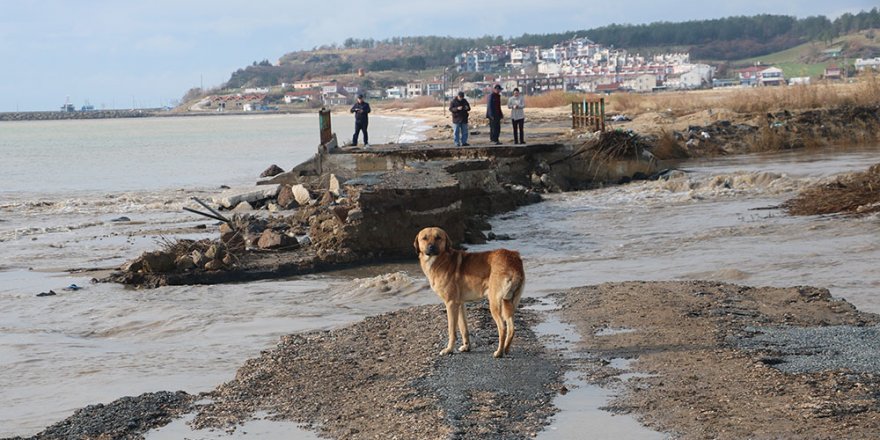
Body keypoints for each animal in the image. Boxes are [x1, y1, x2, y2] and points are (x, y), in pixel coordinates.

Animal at [412, 227, 524, 358]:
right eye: (424, 238)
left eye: (438, 237)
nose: (431, 247)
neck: (440, 259)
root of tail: (513, 259)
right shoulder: (460, 304)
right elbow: (463, 328)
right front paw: (466, 347)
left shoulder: (450, 303)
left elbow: (452, 330)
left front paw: (449, 349)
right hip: (509, 302)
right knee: (511, 328)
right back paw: (506, 349)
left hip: (494, 303)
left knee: (502, 328)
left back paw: (499, 352)